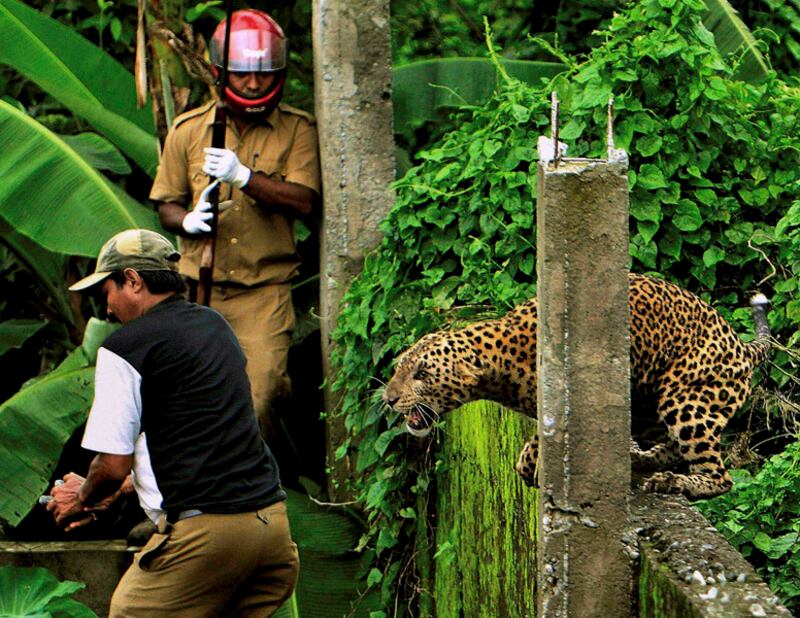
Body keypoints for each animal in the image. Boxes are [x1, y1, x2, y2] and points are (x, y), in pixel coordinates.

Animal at [383, 273, 771, 499]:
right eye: (399, 367)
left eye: (421, 374)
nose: (388, 399)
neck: (500, 364)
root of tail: (742, 345)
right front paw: (529, 463)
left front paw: (536, 463)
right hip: (648, 402)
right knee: (673, 447)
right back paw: (641, 459)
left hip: (684, 399)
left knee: (719, 476)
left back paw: (675, 482)